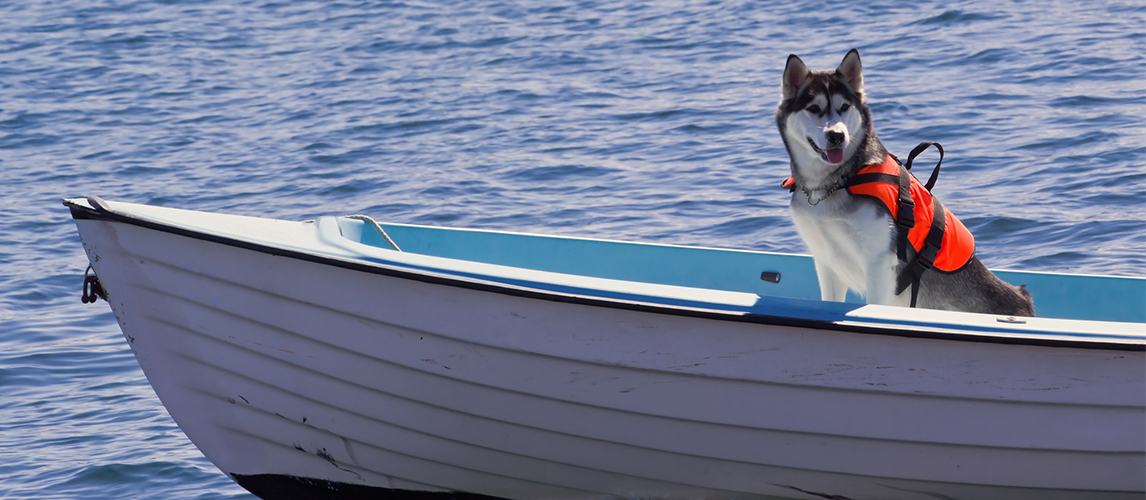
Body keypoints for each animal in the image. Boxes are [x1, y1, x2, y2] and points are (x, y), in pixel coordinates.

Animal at [774, 48, 1035, 314]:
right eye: (814, 108)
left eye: (844, 106)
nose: (836, 136)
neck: (835, 182)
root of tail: (1024, 300)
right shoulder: (826, 261)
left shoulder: (878, 261)